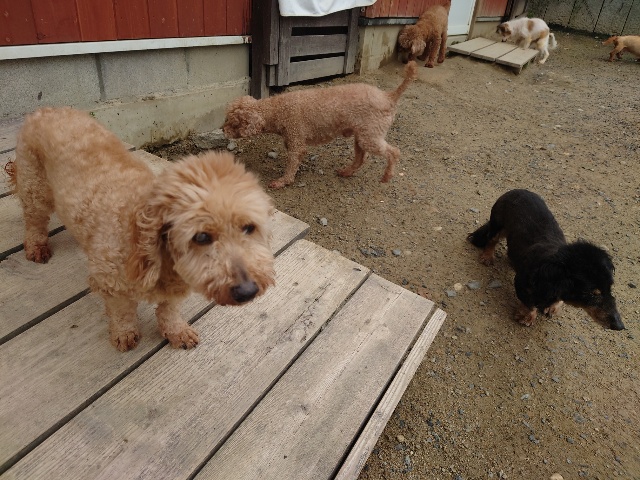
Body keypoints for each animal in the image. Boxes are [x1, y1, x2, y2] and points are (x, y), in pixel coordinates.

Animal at [8, 107, 276, 351]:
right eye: (201, 237)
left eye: (248, 228)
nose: (248, 290)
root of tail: (47, 109)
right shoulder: (111, 283)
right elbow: (123, 312)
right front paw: (124, 334)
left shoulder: (175, 289)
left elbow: (169, 310)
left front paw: (177, 331)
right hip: (35, 187)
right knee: (34, 219)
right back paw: (37, 246)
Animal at [222, 61, 418, 189]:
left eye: (233, 122)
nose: (223, 130)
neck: (276, 110)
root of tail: (389, 96)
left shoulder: (296, 140)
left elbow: (292, 164)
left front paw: (282, 182)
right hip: (361, 136)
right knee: (361, 158)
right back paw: (346, 172)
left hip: (370, 136)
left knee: (394, 152)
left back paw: (387, 176)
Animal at [468, 189, 624, 330]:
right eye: (592, 293)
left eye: (609, 288)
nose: (619, 326)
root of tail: (516, 190)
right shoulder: (521, 283)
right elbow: (529, 304)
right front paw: (526, 317)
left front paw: (553, 307)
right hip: (498, 223)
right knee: (491, 240)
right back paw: (488, 257)